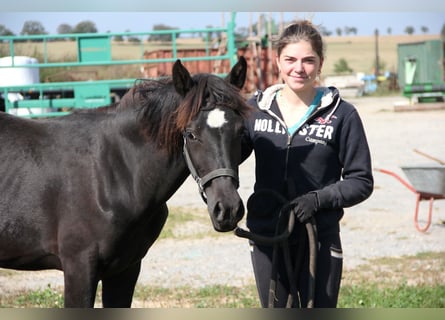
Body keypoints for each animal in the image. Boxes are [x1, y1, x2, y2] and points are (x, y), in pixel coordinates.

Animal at [0, 58, 250, 308]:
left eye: (240, 131)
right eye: (191, 134)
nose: (227, 209)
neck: (113, 172)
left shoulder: (125, 269)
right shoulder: (79, 268)